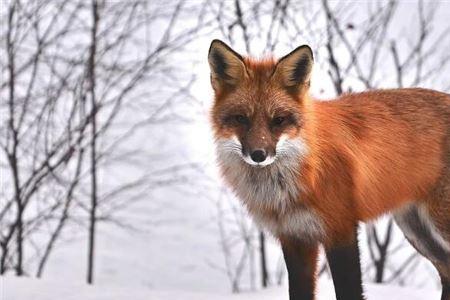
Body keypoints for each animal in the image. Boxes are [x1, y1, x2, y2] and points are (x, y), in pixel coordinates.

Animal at [207, 38, 450, 298]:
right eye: (241, 118)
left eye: (279, 120)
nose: (258, 155)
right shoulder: (295, 237)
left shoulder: (341, 230)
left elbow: (348, 291)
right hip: (417, 230)